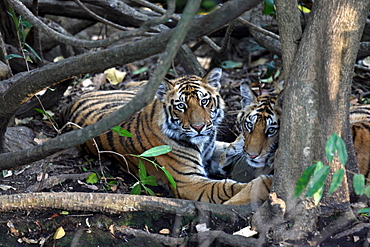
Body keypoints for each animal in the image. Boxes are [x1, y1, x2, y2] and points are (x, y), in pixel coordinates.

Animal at [60, 68, 272, 206]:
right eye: (181, 106)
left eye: (204, 101)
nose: (199, 127)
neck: (201, 144)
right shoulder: (189, 182)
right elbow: (229, 187)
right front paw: (264, 183)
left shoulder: (211, 152)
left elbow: (226, 150)